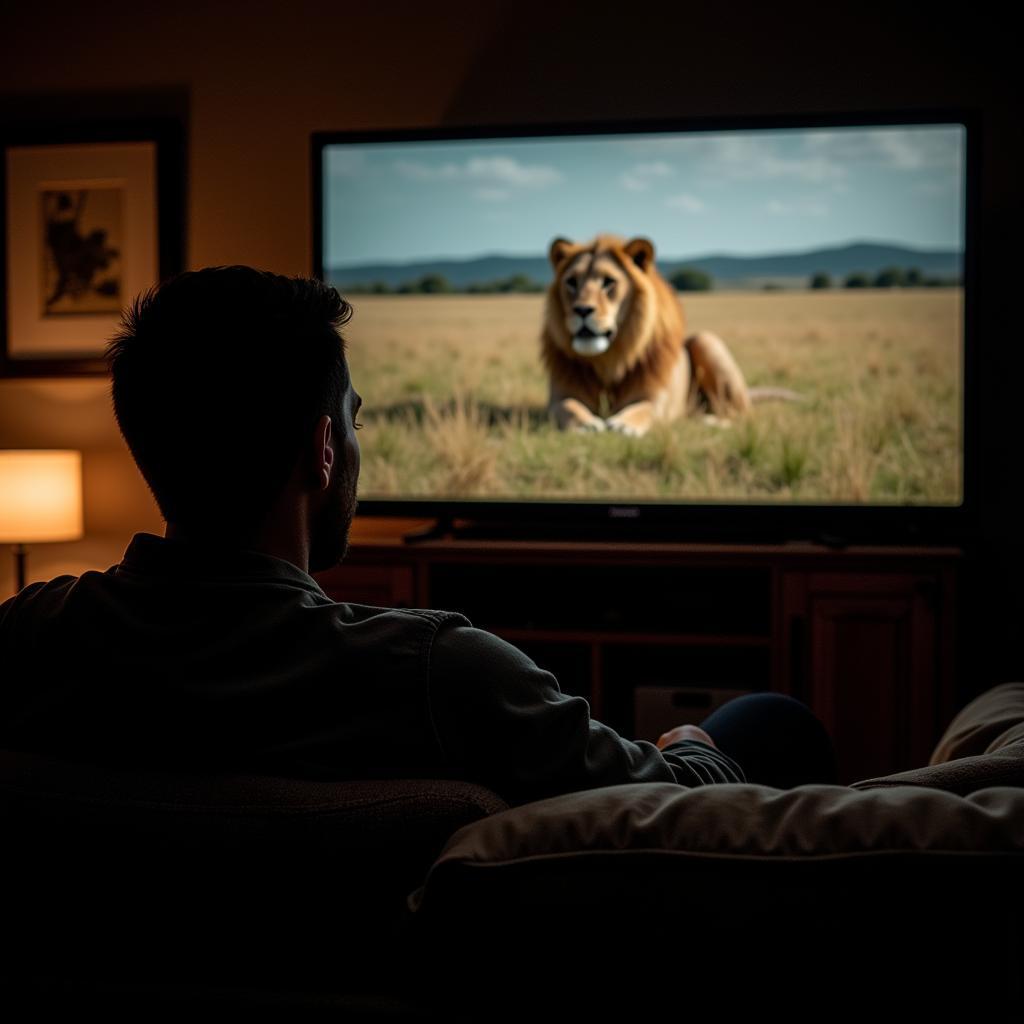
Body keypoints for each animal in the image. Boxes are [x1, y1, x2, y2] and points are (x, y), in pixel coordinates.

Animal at [544, 234, 753, 434]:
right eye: (571, 282)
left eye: (608, 282)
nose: (582, 310)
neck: (608, 361)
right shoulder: (559, 396)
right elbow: (567, 405)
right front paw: (585, 424)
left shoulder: (658, 398)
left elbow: (645, 408)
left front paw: (623, 425)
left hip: (705, 340)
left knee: (741, 414)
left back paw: (710, 421)